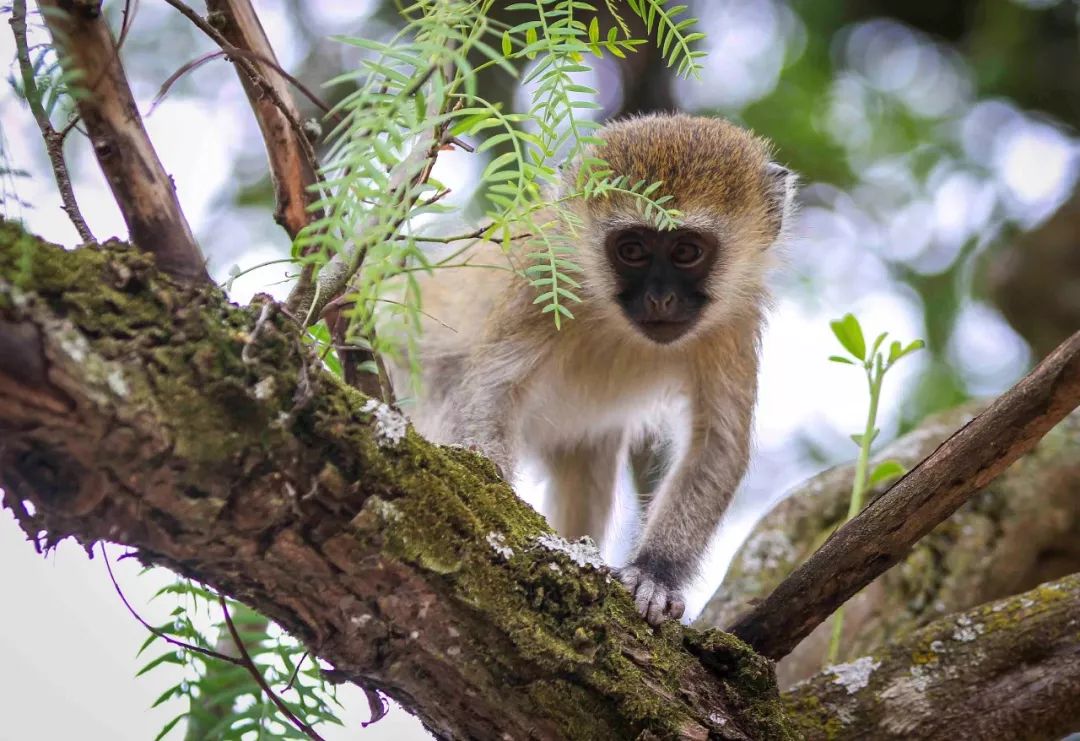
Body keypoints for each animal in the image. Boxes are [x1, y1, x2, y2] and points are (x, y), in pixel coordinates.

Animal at [386, 113, 794, 622]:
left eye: (686, 252)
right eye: (633, 250)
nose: (660, 298)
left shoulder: (734, 321)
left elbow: (717, 444)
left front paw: (655, 574)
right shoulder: (543, 274)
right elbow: (493, 387)